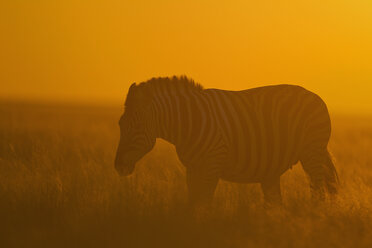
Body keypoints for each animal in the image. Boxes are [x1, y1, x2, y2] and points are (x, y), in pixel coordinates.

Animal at [115, 76, 338, 207]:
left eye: (136, 128)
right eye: (119, 124)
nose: (118, 166)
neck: (188, 123)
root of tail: (316, 97)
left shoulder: (213, 163)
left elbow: (204, 202)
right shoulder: (192, 167)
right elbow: (193, 202)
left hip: (311, 152)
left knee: (318, 191)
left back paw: (314, 217)